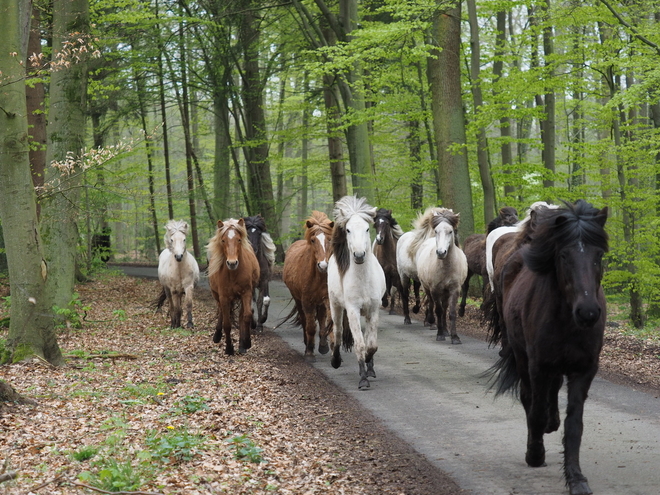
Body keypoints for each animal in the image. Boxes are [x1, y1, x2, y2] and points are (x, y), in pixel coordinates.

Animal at [206, 219, 260, 354]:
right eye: (223, 240)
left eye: (239, 240)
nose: (232, 263)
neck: (233, 273)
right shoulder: (224, 297)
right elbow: (227, 324)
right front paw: (229, 348)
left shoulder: (246, 293)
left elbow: (246, 316)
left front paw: (246, 342)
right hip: (217, 296)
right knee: (220, 311)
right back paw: (217, 336)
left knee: (241, 316)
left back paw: (241, 345)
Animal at [282, 211, 336, 362]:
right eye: (313, 240)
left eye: (329, 240)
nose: (323, 265)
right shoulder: (307, 301)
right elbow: (311, 326)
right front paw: (310, 352)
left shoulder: (327, 299)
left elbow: (329, 323)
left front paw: (330, 348)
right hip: (298, 300)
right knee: (304, 319)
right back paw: (308, 343)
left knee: (322, 318)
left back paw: (323, 345)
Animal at [328, 196, 386, 390]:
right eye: (348, 229)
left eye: (367, 228)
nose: (359, 255)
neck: (363, 279)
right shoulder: (352, 310)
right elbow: (359, 344)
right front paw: (363, 379)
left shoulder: (373, 309)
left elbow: (371, 345)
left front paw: (368, 365)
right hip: (335, 306)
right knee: (338, 331)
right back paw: (335, 360)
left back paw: (370, 368)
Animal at [416, 209, 466, 344]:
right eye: (436, 231)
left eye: (450, 231)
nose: (441, 252)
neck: (446, 267)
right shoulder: (435, 289)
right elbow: (438, 310)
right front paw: (440, 334)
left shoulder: (454, 290)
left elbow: (451, 312)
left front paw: (455, 337)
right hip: (427, 288)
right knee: (432, 304)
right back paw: (432, 323)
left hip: (446, 292)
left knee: (445, 308)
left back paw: (445, 329)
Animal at [484, 201, 608, 495]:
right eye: (563, 255)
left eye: (598, 255)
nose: (588, 312)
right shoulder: (538, 365)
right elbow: (535, 411)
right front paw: (535, 454)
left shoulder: (584, 370)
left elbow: (574, 425)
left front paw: (576, 478)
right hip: (522, 357)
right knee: (529, 399)